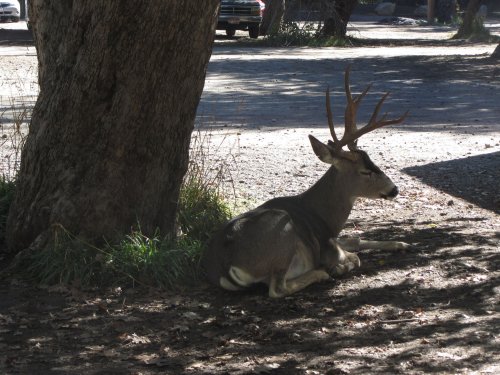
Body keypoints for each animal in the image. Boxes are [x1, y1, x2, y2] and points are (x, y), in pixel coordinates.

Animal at [201, 66, 408, 298]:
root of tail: (224, 265)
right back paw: (322, 273)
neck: (324, 217)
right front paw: (338, 267)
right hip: (282, 232)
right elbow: (354, 256)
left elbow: (355, 239)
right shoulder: (327, 245)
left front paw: (401, 243)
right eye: (365, 172)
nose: (394, 189)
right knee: (277, 288)